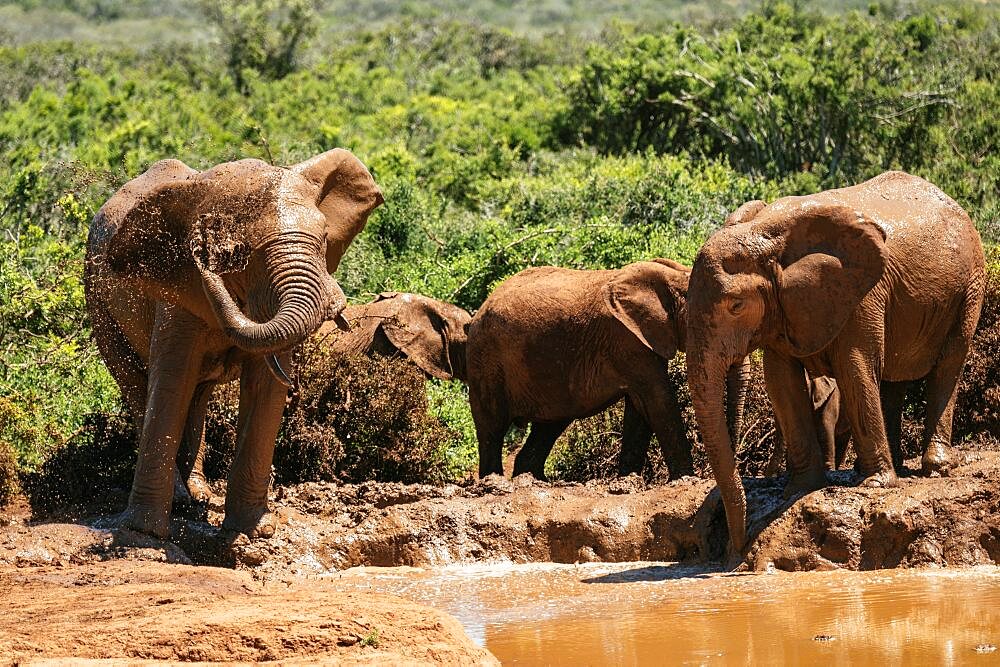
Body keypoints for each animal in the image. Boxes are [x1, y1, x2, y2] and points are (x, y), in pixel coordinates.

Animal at [83, 149, 382, 540]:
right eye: (241, 254)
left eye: (324, 238)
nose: (202, 246)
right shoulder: (175, 292)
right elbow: (171, 381)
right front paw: (144, 534)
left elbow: (265, 386)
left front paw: (257, 530)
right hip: (96, 293)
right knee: (135, 383)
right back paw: (183, 499)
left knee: (198, 394)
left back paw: (199, 493)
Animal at [464, 258, 748, 482]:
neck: (673, 276)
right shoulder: (628, 341)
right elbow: (658, 402)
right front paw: (685, 478)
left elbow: (641, 410)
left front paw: (628, 481)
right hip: (486, 361)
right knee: (492, 428)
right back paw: (493, 481)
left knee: (548, 426)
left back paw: (533, 480)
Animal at [688, 172, 984, 552]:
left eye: (736, 306)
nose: (736, 546)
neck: (767, 233)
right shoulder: (785, 308)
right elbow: (781, 382)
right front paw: (799, 488)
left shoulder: (861, 294)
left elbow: (855, 368)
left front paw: (875, 485)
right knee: (893, 379)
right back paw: (884, 467)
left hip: (971, 284)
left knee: (949, 362)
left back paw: (934, 467)